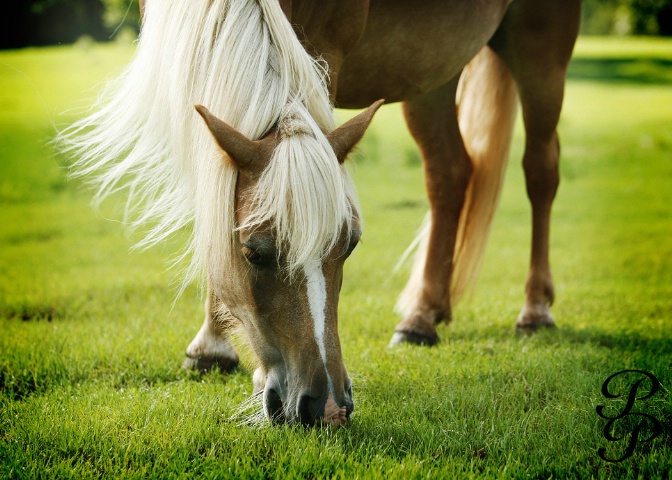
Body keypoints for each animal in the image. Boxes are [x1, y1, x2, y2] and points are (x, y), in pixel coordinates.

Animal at [59, 0, 584, 428]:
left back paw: (535, 309)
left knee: (540, 170)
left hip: (539, 47)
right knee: (449, 175)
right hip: (432, 68)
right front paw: (211, 344)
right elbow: (213, 194)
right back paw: (422, 315)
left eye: (349, 245)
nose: (327, 407)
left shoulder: (326, 49)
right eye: (253, 253)